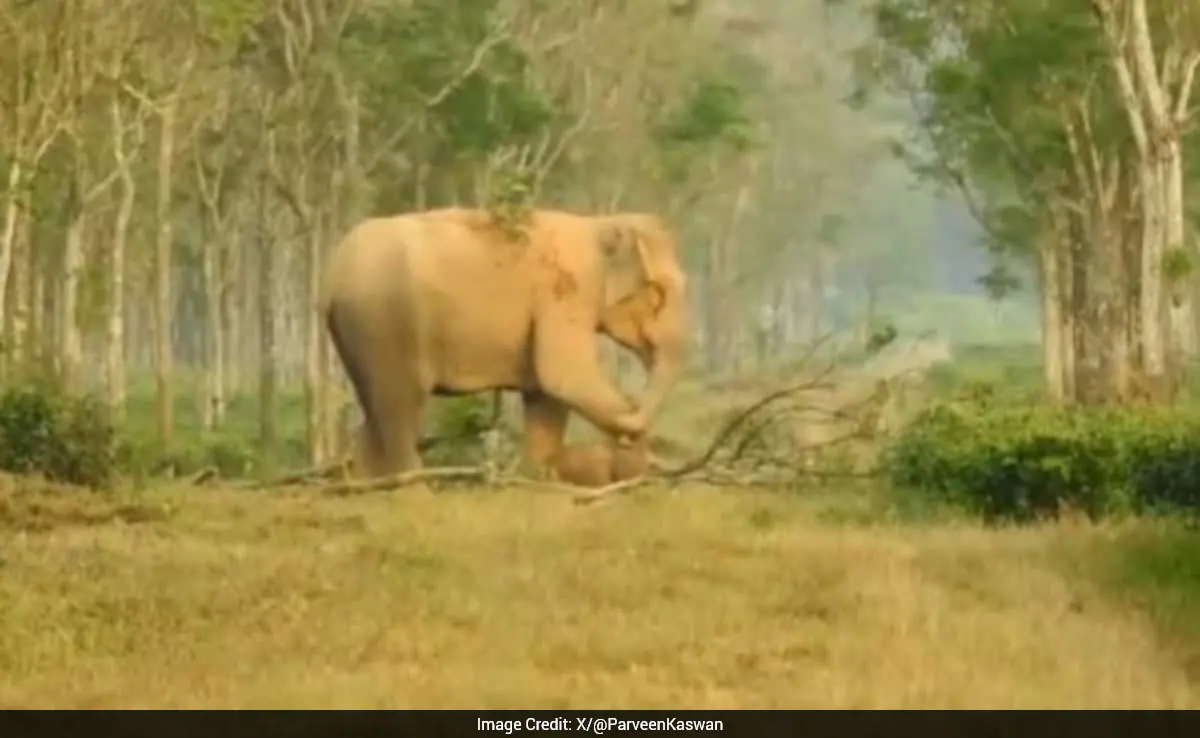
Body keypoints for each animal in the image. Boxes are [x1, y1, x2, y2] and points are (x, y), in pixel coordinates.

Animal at [320, 207, 690, 479]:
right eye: (659, 293)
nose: (632, 402)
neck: (599, 223)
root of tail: (332, 275)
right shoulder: (564, 293)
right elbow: (564, 376)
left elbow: (546, 396)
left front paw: (535, 482)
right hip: (387, 324)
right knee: (399, 405)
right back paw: (413, 490)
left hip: (361, 335)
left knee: (373, 408)